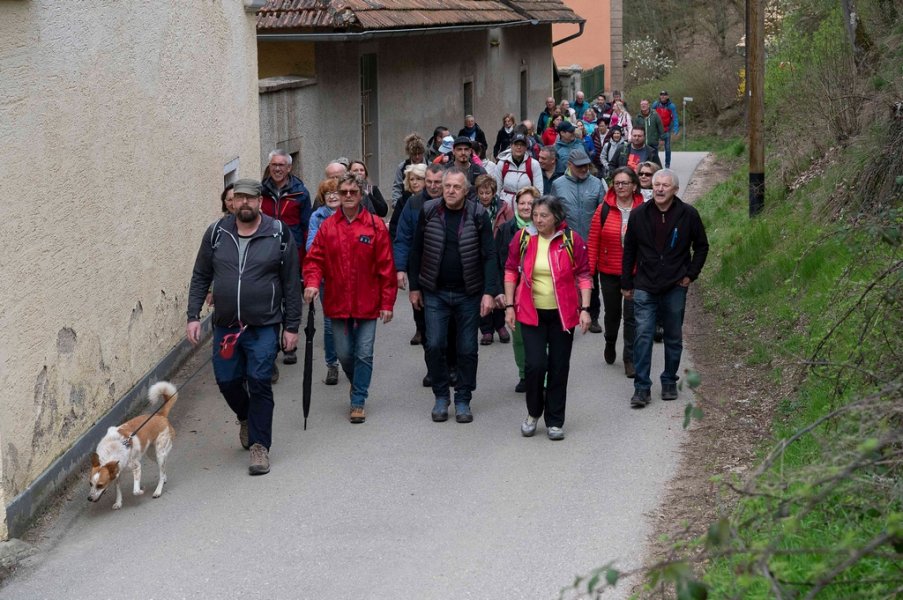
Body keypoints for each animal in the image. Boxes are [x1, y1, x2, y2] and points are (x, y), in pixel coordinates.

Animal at [88, 381, 177, 509]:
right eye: (90, 483)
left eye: (100, 485)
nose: (89, 498)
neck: (112, 450)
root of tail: (160, 415)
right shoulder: (117, 473)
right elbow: (118, 490)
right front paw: (118, 502)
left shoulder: (136, 467)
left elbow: (135, 490)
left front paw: (140, 491)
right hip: (152, 454)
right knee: (163, 470)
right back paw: (164, 479)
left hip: (160, 454)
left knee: (161, 472)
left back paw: (158, 490)